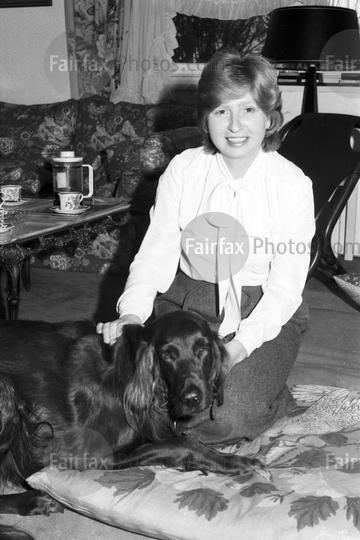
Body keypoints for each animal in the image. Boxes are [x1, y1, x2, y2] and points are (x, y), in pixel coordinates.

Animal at [0, 312, 258, 536]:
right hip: (7, 397)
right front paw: (234, 461)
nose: (192, 398)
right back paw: (31, 500)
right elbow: (181, 444)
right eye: (168, 355)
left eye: (202, 349)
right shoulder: (91, 455)